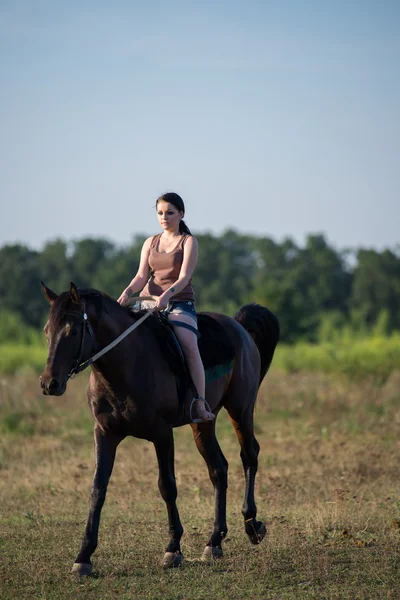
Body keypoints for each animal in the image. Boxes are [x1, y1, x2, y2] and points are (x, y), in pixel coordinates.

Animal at [39, 284, 278, 576]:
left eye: (72, 332)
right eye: (47, 331)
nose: (49, 383)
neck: (127, 364)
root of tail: (239, 327)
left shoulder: (162, 434)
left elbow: (167, 486)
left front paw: (173, 548)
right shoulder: (104, 434)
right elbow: (98, 489)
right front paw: (84, 556)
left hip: (240, 410)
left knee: (249, 456)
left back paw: (252, 525)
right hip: (203, 422)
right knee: (218, 469)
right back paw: (214, 541)